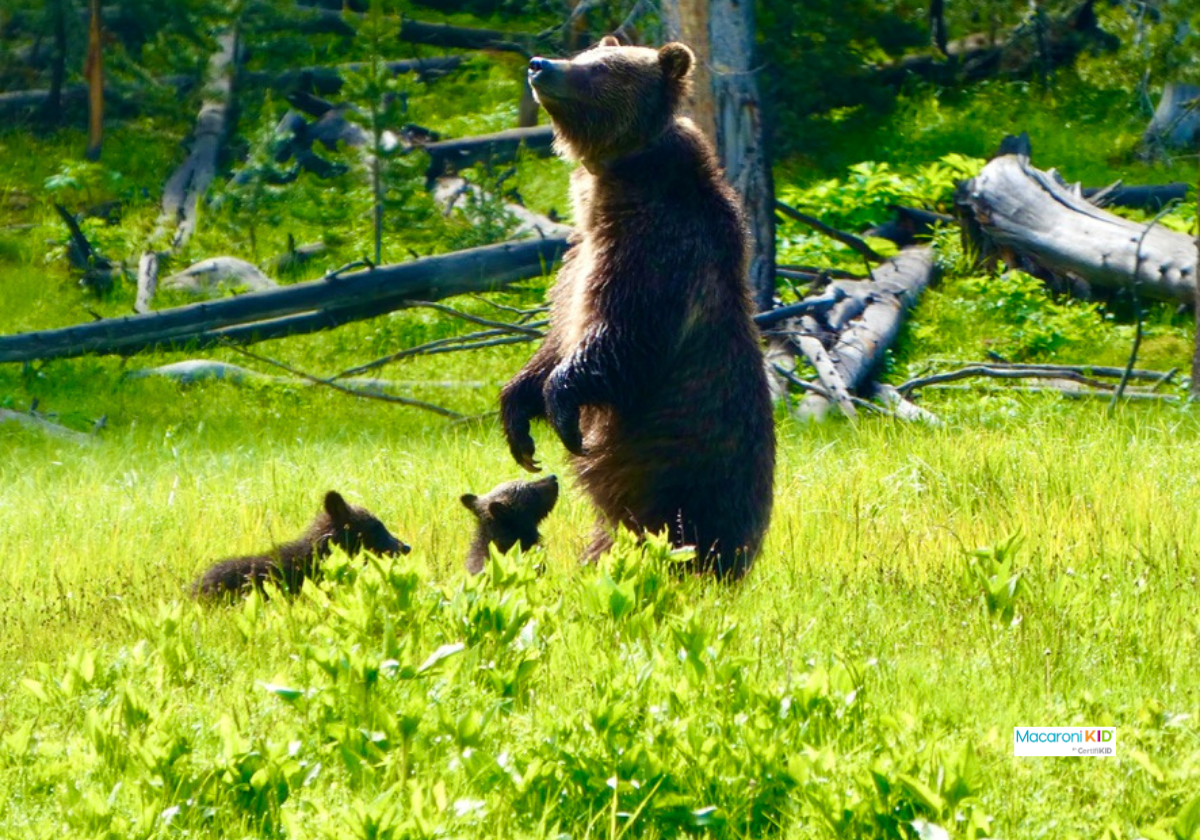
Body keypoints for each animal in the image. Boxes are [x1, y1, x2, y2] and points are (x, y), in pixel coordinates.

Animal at [499, 36, 772, 580]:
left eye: (601, 68)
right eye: (583, 54)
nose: (541, 65)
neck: (617, 183)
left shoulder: (655, 252)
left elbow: (620, 335)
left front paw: (563, 412)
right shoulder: (578, 258)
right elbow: (556, 340)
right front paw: (519, 423)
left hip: (687, 474)